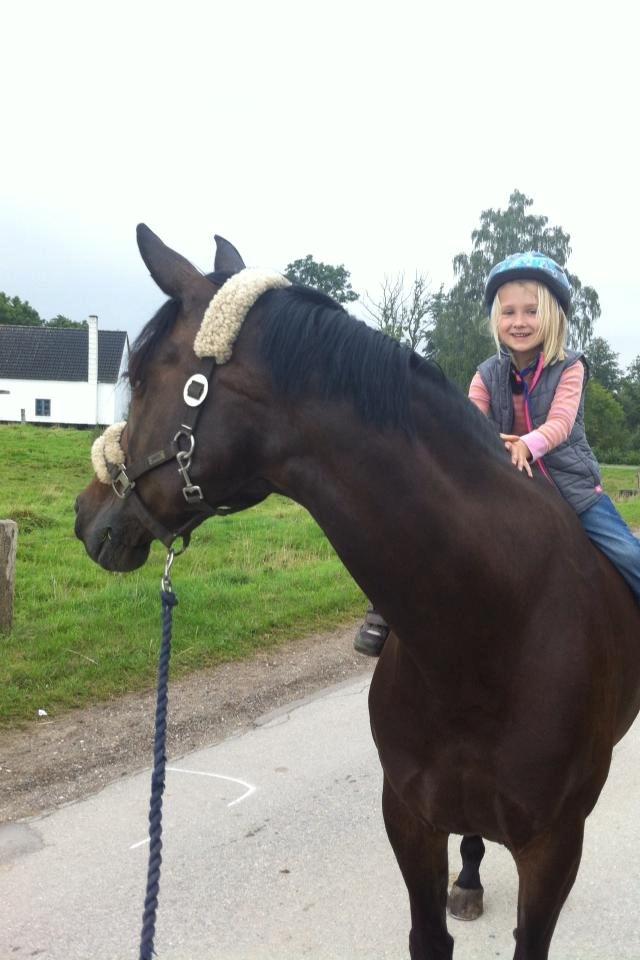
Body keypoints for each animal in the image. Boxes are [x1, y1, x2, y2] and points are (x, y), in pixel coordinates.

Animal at [72, 227, 640, 960]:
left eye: (141, 378)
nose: (86, 517)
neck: (487, 630)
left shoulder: (554, 847)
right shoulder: (409, 817)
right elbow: (428, 936)